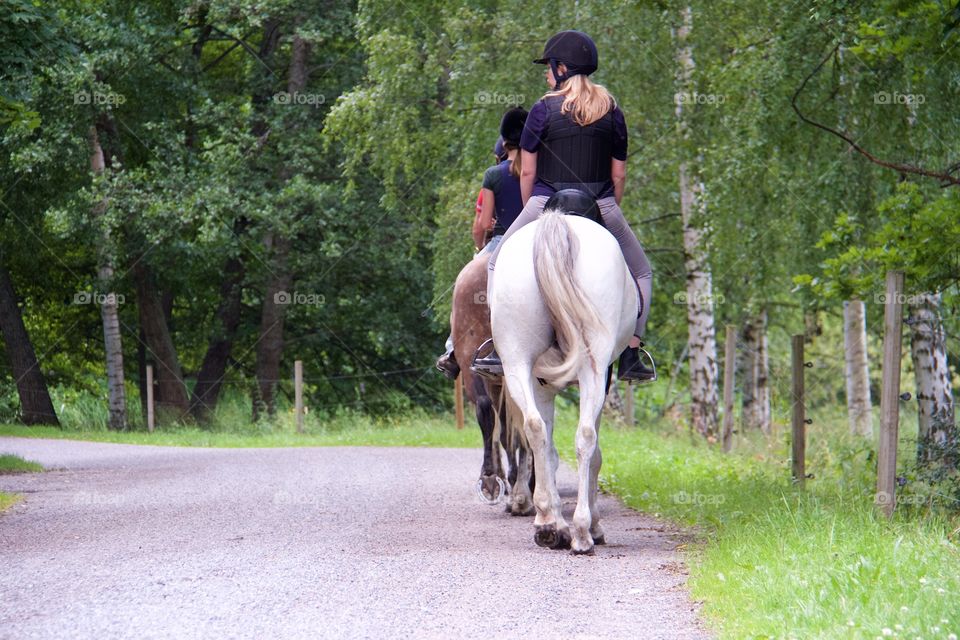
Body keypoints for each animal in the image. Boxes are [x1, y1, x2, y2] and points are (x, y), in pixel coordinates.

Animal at [492, 208, 640, 552]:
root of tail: (558, 221)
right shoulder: (603, 379)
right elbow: (594, 453)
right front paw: (592, 525)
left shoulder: (540, 384)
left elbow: (545, 447)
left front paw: (551, 520)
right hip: (593, 366)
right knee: (585, 437)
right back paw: (584, 532)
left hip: (517, 361)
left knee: (534, 428)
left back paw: (549, 526)